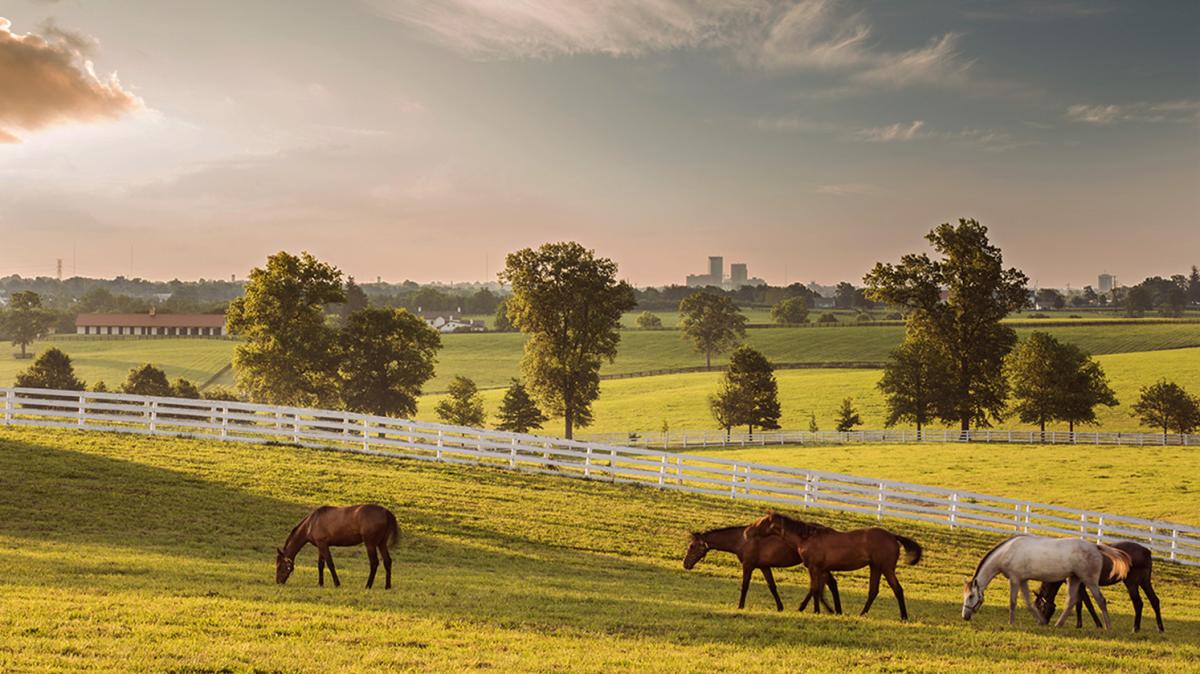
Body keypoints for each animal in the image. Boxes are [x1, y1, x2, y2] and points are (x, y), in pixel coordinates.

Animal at [686, 522, 844, 611]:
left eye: (692, 546)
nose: (685, 563)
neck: (742, 539)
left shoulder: (748, 565)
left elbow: (745, 586)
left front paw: (740, 606)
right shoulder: (764, 567)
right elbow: (772, 587)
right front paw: (780, 607)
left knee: (824, 584)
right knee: (826, 584)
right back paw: (832, 609)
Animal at [744, 508, 921, 618]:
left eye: (762, 522)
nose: (747, 532)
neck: (807, 538)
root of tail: (892, 536)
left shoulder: (814, 568)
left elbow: (815, 590)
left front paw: (815, 611)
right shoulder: (821, 569)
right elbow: (816, 590)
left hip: (886, 567)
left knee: (897, 589)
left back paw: (903, 617)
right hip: (876, 567)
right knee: (873, 591)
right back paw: (862, 614)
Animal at [960, 532, 1128, 628]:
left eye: (971, 596)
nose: (965, 616)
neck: (1008, 551)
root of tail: (1095, 547)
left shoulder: (1015, 580)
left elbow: (1013, 602)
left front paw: (1011, 623)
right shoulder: (1023, 580)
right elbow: (1028, 603)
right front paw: (1041, 620)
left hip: (1089, 581)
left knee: (1101, 601)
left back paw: (1108, 627)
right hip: (1074, 579)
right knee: (1071, 601)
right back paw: (1058, 624)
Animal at [1032, 534, 1161, 628]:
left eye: (1039, 607)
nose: (1040, 623)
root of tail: (1146, 551)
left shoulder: (1082, 585)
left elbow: (1086, 605)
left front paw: (1096, 624)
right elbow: (1080, 604)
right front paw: (1080, 624)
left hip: (1132, 583)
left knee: (1138, 603)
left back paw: (1135, 628)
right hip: (1145, 582)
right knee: (1154, 600)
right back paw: (1159, 628)